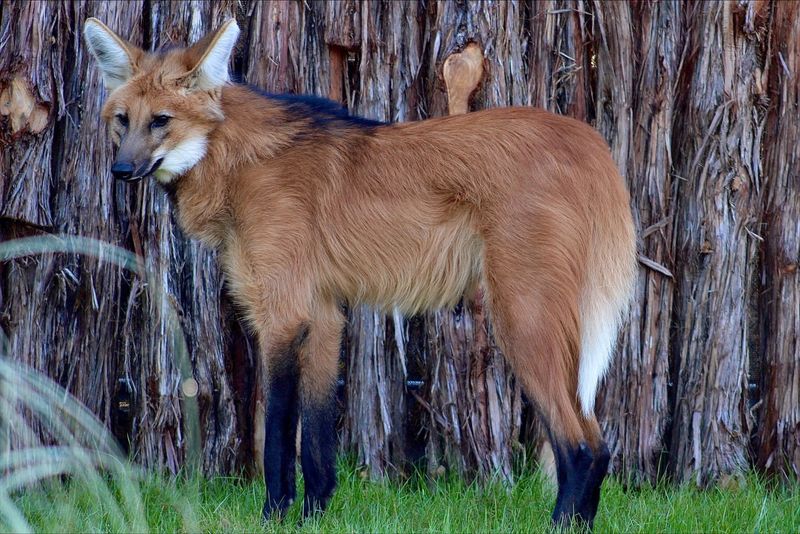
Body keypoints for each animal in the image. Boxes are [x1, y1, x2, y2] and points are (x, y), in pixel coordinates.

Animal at [84, 16, 636, 532]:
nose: (120, 171)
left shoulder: (283, 317)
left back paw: (561, 523)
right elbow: (317, 441)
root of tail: (587, 138)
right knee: (595, 441)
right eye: (122, 121)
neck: (233, 158)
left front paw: (273, 516)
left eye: (161, 121)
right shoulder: (324, 312)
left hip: (521, 318)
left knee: (583, 445)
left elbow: (279, 437)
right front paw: (313, 516)